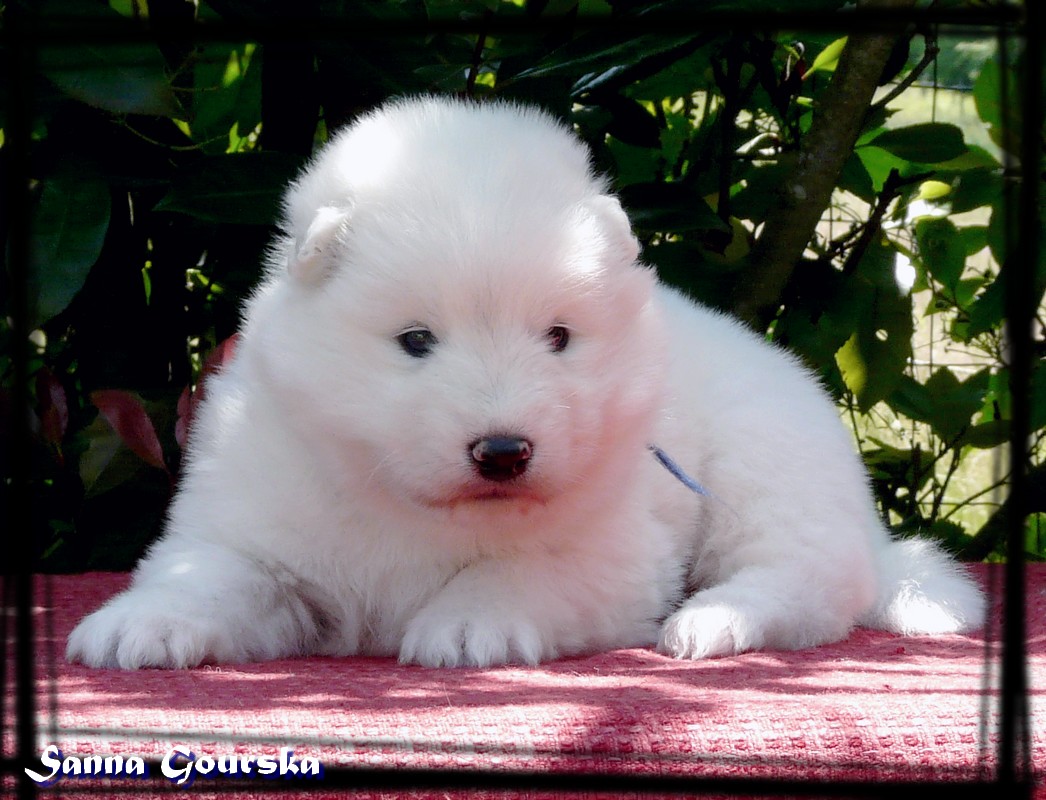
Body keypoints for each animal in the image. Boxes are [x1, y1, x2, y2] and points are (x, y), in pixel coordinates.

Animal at [67, 95, 987, 669]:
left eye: (558, 338)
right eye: (416, 341)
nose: (504, 451)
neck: (412, 504)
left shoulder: (611, 551)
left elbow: (523, 571)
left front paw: (467, 624)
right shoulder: (258, 528)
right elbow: (208, 573)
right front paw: (135, 626)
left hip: (766, 471)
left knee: (812, 578)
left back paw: (710, 621)